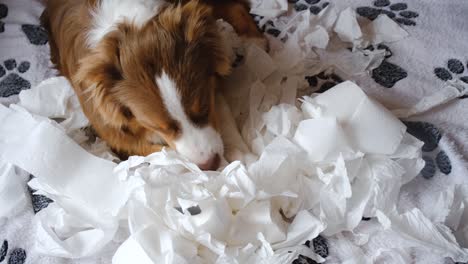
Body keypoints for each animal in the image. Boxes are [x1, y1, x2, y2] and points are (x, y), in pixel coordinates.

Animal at [42, 0, 268, 170]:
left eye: (203, 108)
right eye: (158, 126)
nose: (209, 164)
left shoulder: (211, 86)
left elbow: (224, 119)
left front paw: (244, 157)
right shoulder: (114, 131)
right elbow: (160, 152)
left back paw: (255, 44)